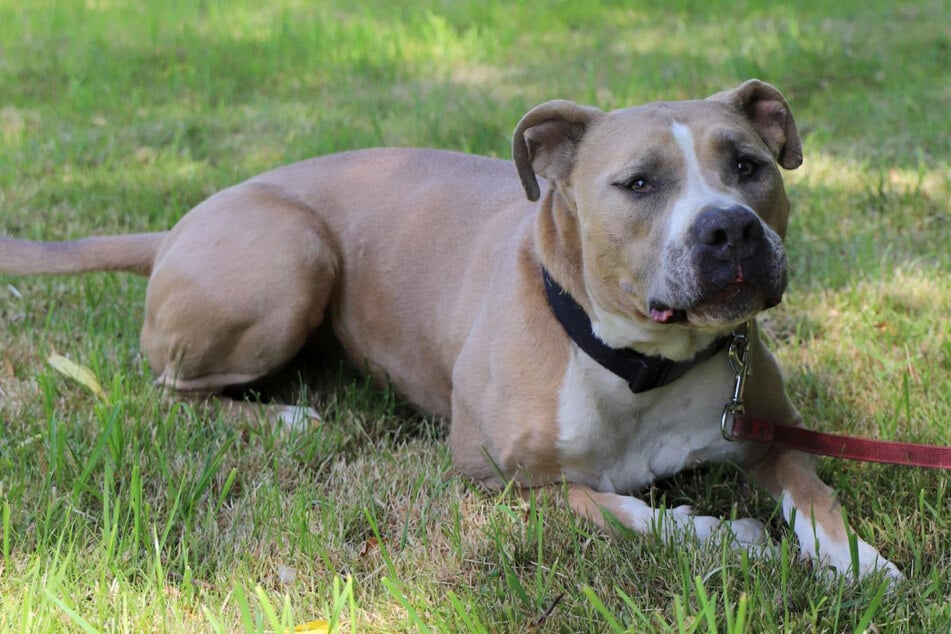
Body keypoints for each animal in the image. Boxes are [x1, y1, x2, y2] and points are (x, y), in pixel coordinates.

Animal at [0, 81, 904, 580]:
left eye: (748, 166)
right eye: (640, 183)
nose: (729, 230)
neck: (638, 364)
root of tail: (181, 221)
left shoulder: (766, 431)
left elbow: (816, 496)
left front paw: (863, 564)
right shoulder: (490, 477)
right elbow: (618, 507)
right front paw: (729, 536)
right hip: (291, 255)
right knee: (172, 390)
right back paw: (285, 415)